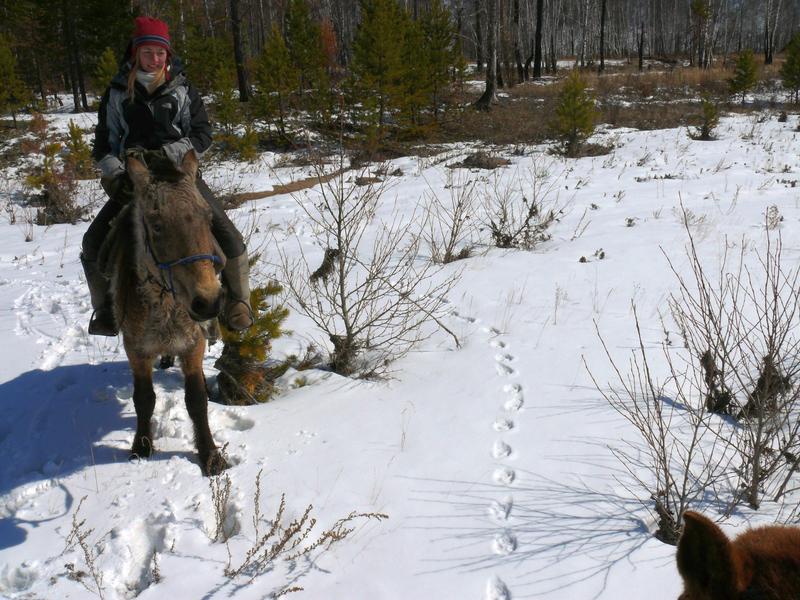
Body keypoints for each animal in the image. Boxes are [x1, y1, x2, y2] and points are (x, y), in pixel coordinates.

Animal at [100, 151, 227, 478]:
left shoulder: (193, 344)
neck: (166, 306)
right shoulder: (136, 349)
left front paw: (210, 456)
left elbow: (196, 399)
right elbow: (144, 399)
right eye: (156, 225)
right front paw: (141, 446)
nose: (208, 302)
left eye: (208, 218)